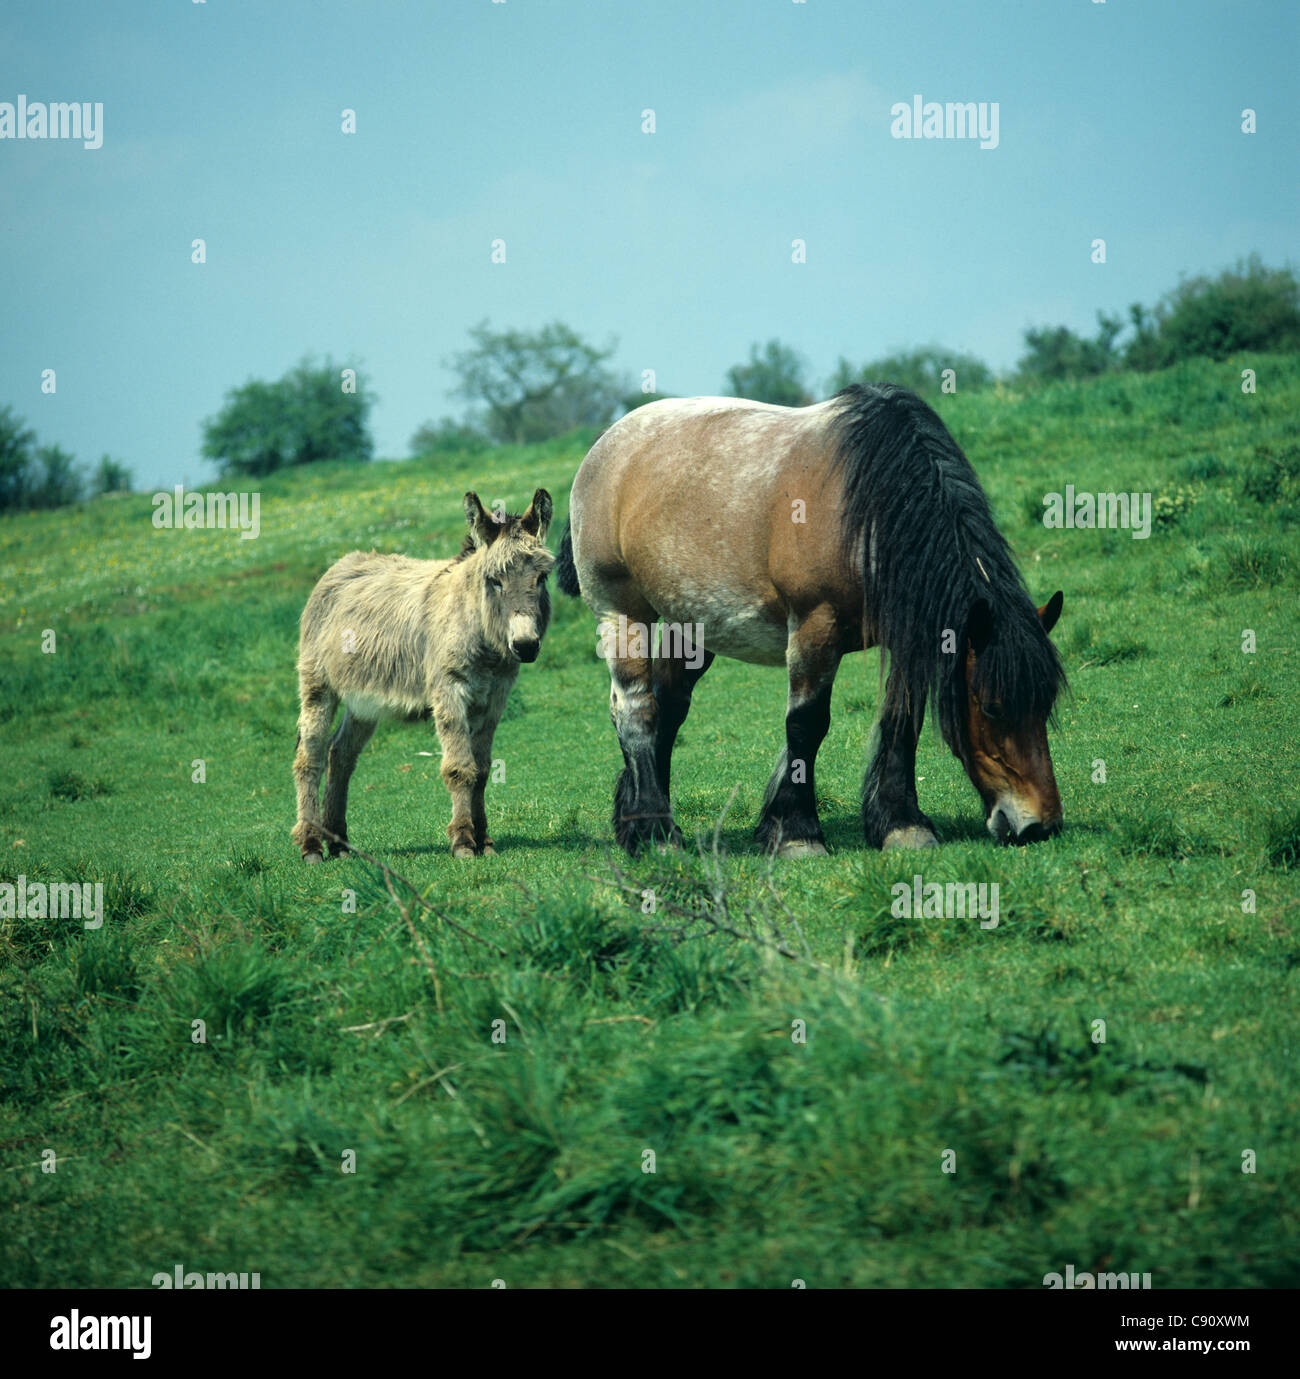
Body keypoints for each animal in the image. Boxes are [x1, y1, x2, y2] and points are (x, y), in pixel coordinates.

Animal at [289, 490, 554, 860]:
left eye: (541, 578)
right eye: (494, 581)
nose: (526, 646)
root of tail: (340, 565)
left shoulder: (494, 698)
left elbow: (483, 769)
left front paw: (484, 840)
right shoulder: (449, 691)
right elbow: (460, 768)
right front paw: (463, 841)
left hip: (363, 702)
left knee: (340, 754)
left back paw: (339, 843)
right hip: (318, 686)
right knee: (309, 757)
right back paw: (311, 844)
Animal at [556, 388, 1069, 854]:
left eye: (1045, 704)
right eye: (993, 708)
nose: (1038, 825)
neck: (868, 507)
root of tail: (608, 442)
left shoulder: (904, 633)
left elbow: (903, 717)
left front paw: (901, 825)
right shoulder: (814, 627)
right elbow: (806, 725)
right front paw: (797, 833)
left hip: (695, 627)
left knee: (669, 706)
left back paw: (641, 824)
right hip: (622, 615)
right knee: (637, 711)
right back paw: (656, 833)